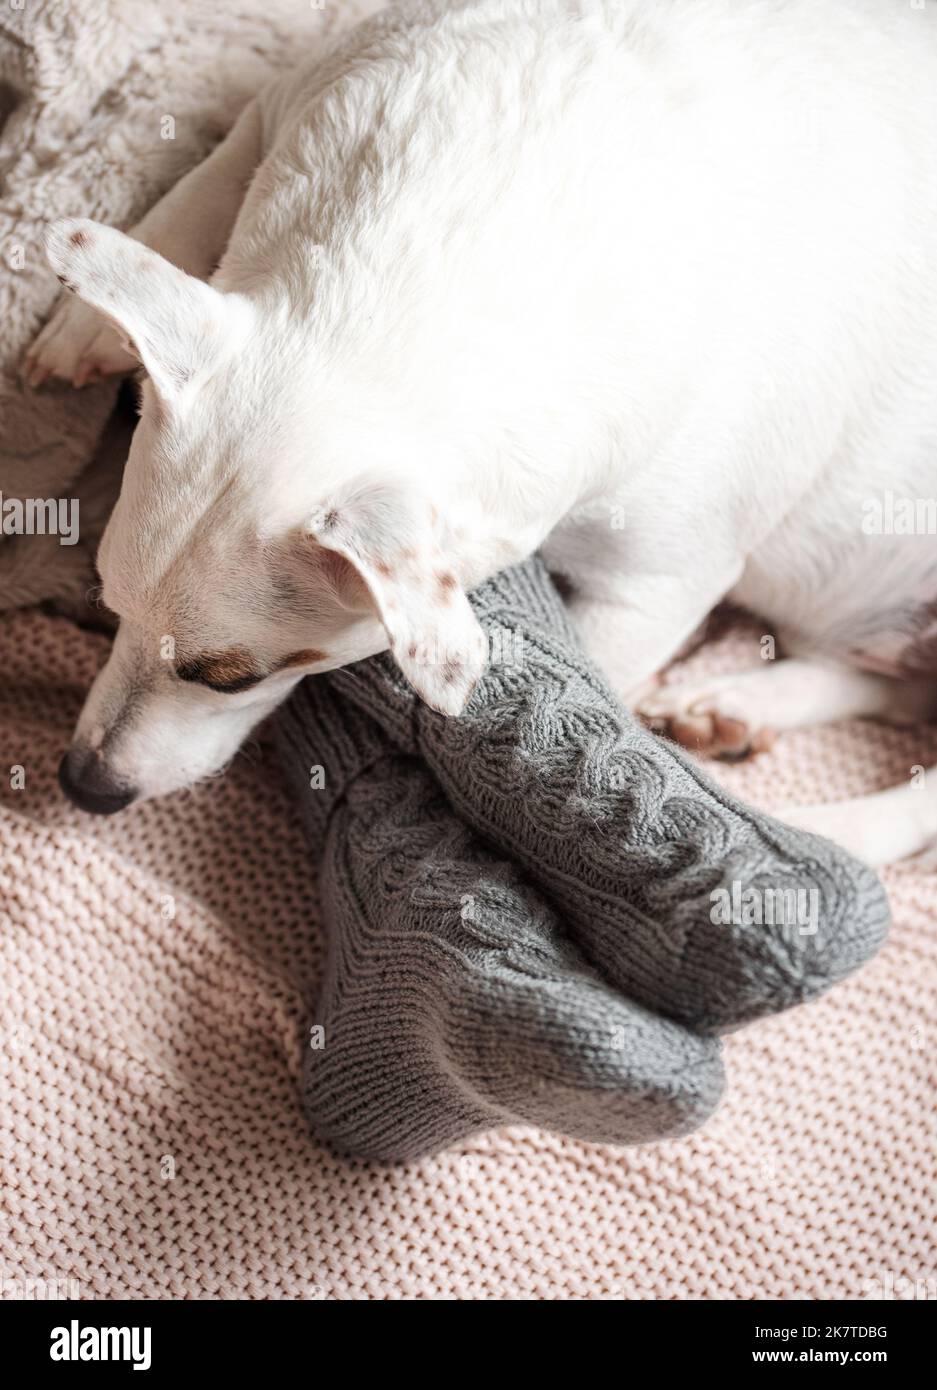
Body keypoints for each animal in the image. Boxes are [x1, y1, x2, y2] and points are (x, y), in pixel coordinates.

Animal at [21, 2, 934, 867]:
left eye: (234, 678)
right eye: (105, 602)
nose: (83, 784)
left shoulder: (657, 587)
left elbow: (596, 668)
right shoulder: (285, 97)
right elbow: (199, 190)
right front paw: (78, 328)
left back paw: (831, 839)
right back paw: (732, 706)